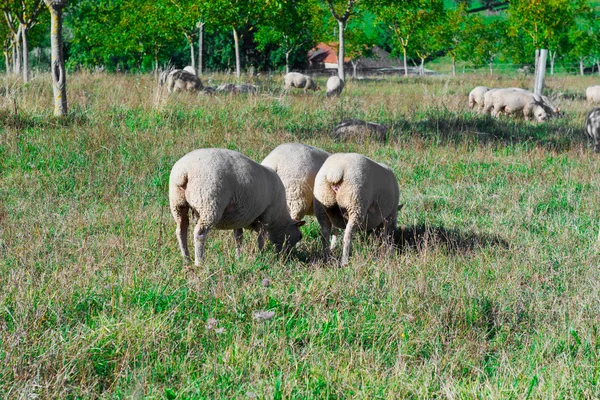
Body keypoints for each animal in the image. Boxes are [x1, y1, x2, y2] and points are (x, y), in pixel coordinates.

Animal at [171, 147, 308, 266]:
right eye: (300, 236)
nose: (288, 256)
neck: (278, 219)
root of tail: (184, 171)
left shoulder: (238, 217)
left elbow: (238, 237)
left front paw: (238, 257)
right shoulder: (266, 216)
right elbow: (261, 238)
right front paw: (261, 255)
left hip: (178, 204)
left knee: (181, 230)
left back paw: (186, 259)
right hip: (209, 204)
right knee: (199, 233)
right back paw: (199, 262)